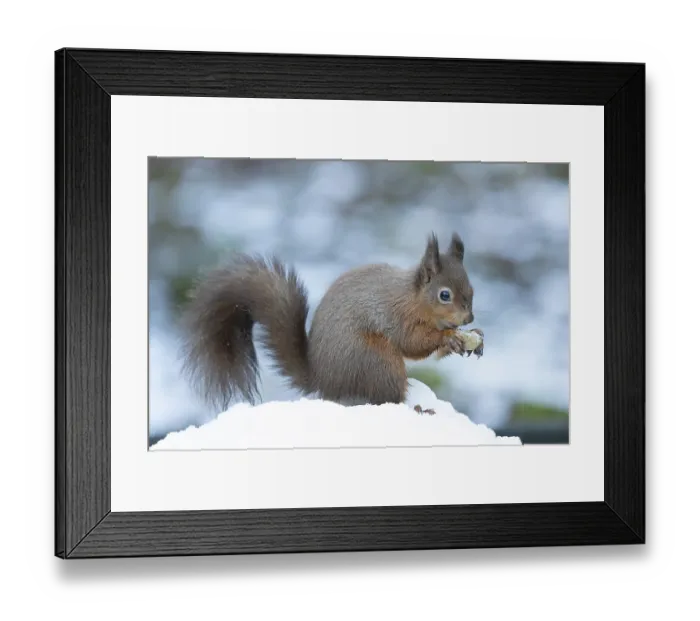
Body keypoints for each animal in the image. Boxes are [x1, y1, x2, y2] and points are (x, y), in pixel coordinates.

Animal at [180, 231, 483, 415]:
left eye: (471, 289)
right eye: (445, 295)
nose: (469, 318)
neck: (413, 297)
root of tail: (322, 381)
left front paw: (468, 337)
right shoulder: (395, 315)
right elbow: (412, 343)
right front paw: (448, 337)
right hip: (376, 360)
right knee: (384, 397)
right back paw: (416, 409)